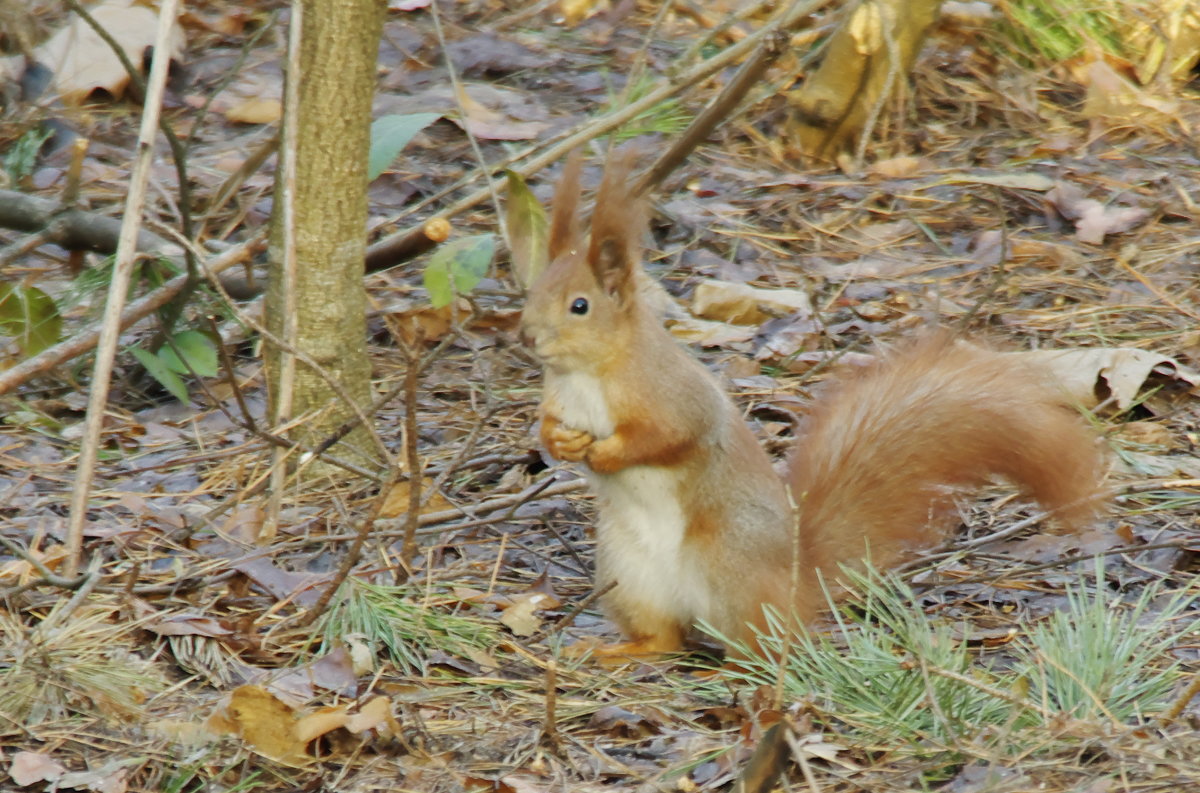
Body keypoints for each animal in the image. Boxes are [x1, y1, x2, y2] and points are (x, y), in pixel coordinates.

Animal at [516, 149, 1104, 657]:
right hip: (629, 575)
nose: (525, 336)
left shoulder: (671, 394)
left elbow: (669, 435)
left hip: (731, 565)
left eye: (579, 306)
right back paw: (616, 651)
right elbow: (547, 425)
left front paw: (608, 452)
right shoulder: (559, 398)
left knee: (764, 640)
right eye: (532, 292)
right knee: (664, 641)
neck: (587, 374)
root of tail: (796, 580)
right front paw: (560, 441)